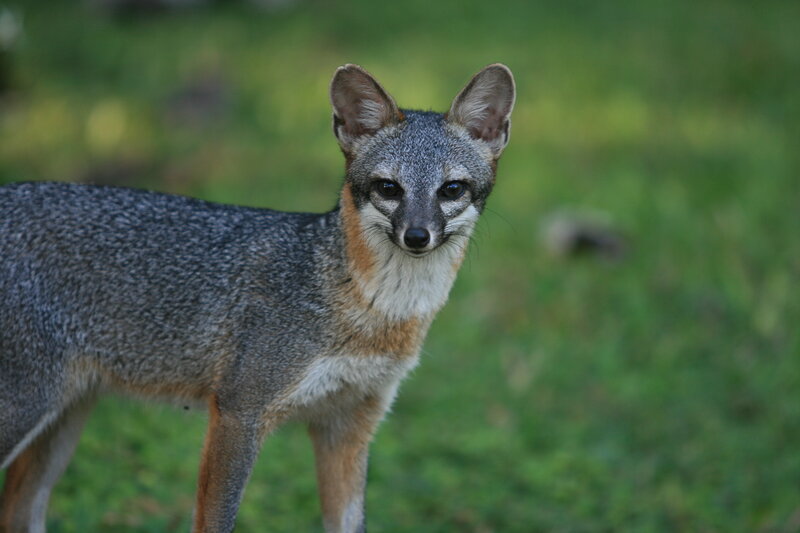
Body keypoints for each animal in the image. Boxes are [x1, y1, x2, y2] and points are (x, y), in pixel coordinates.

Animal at [0, 63, 515, 533]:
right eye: (389, 188)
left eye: (451, 189)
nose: (417, 235)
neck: (371, 311)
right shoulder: (239, 413)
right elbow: (217, 521)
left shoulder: (348, 425)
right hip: (29, 408)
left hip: (64, 416)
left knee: (18, 511)